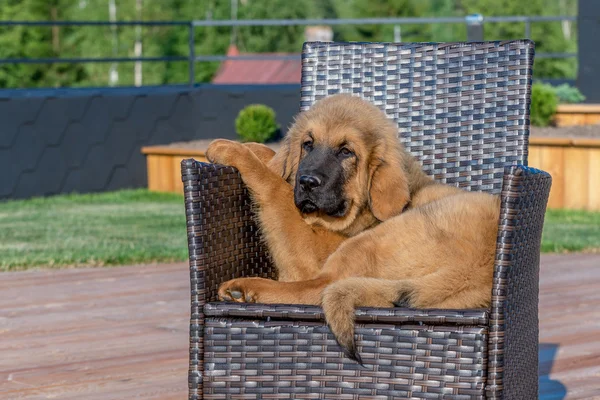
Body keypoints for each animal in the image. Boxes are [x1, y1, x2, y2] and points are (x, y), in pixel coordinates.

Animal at [207, 94, 502, 362]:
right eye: (308, 145)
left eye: (346, 152)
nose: (307, 182)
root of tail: (470, 272)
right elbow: (275, 168)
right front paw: (255, 148)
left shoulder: (312, 251)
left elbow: (274, 186)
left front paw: (234, 150)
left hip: (378, 238)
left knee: (319, 288)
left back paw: (243, 288)